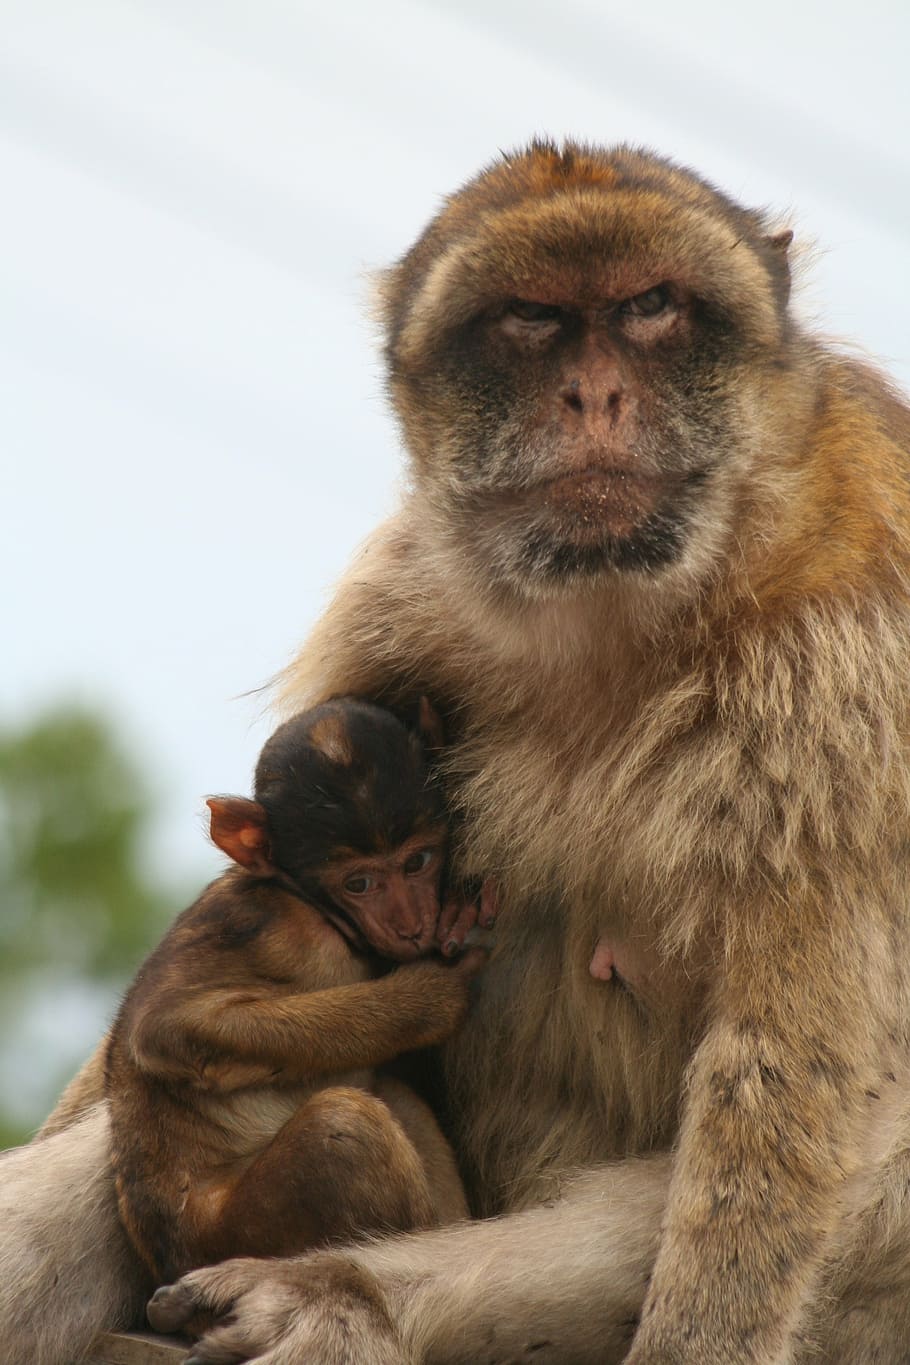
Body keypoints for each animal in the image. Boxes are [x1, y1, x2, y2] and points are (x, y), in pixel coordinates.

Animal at [105, 697, 486, 1287]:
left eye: (417, 862)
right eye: (360, 884)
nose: (410, 924)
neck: (310, 902)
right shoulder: (279, 931)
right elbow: (164, 1029)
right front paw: (429, 998)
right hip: (241, 1230)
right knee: (344, 1126)